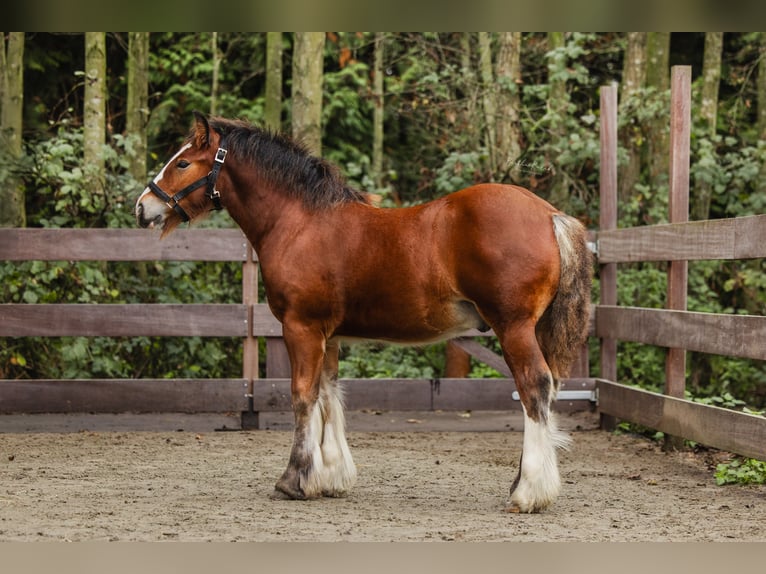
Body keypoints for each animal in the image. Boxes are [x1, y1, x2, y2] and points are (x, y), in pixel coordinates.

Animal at [136, 111, 592, 512]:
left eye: (182, 162)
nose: (142, 207)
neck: (299, 222)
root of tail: (550, 215)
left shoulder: (300, 328)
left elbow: (302, 397)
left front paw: (293, 481)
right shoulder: (328, 335)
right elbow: (328, 395)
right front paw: (331, 478)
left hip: (513, 328)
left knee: (534, 388)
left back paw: (528, 494)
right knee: (544, 393)